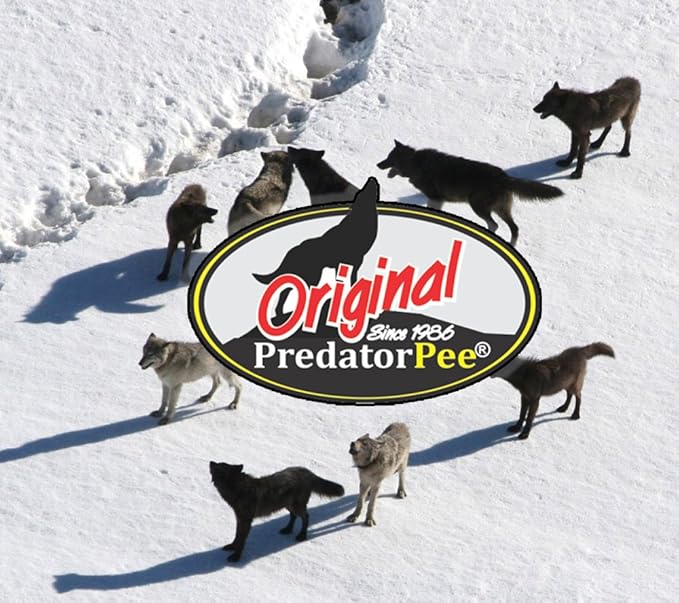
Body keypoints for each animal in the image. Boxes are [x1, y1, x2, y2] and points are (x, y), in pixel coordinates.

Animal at [209, 461, 344, 562]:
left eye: (218, 466)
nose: (210, 461)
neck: (239, 489)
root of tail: (308, 472)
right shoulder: (239, 519)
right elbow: (237, 536)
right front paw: (232, 547)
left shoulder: (246, 521)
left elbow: (241, 539)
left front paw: (236, 557)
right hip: (287, 505)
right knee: (293, 516)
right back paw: (287, 530)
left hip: (296, 506)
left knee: (306, 517)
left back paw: (302, 536)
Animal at [377, 141, 563, 245]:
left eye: (388, 158)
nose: (378, 164)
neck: (415, 163)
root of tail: (505, 176)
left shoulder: (435, 198)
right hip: (500, 209)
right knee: (513, 228)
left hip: (478, 206)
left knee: (495, 225)